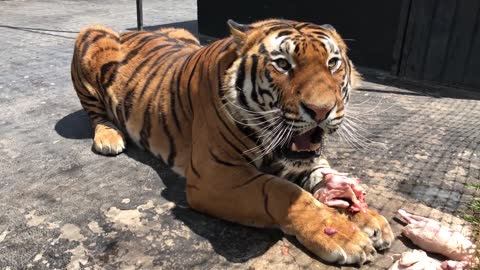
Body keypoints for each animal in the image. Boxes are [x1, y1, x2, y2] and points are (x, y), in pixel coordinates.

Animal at [70, 19, 394, 266]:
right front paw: (344, 236)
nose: (321, 110)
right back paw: (109, 137)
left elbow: (323, 179)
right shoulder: (215, 176)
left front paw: (369, 218)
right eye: (283, 64)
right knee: (94, 113)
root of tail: (129, 31)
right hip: (90, 35)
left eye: (333, 63)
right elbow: (283, 191)